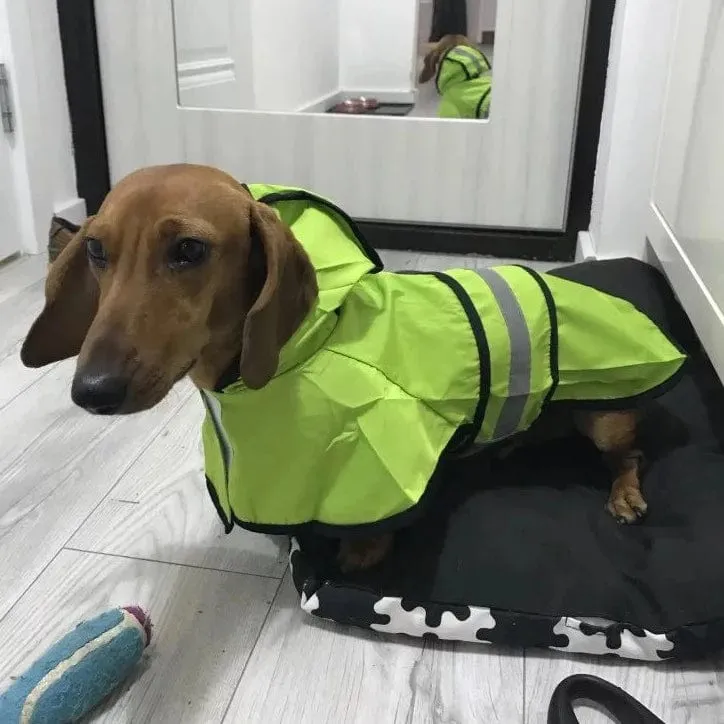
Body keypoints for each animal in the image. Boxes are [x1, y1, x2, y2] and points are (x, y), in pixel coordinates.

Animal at [22, 163, 688, 572]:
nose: (92, 391)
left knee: (629, 453)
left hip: (606, 417)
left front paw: (362, 552)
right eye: (96, 249)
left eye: (189, 250)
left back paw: (625, 495)